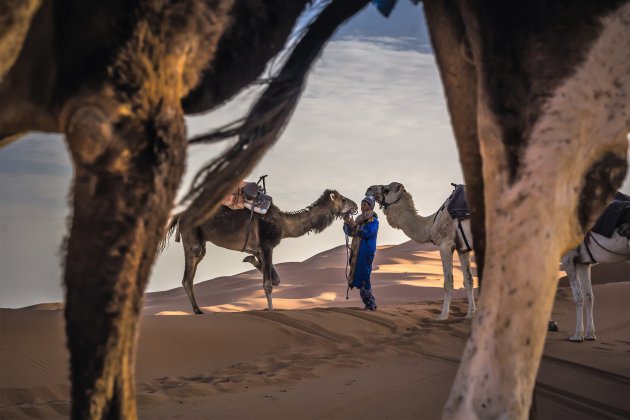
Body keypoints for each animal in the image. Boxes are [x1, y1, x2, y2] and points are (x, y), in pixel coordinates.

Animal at [160, 189, 358, 312]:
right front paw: (271, 309)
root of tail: (181, 215)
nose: (355, 205)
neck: (284, 225)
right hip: (192, 238)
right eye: (342, 199)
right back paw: (197, 310)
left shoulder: (259, 250)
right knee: (188, 276)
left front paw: (249, 260)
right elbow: (268, 284)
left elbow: (275, 279)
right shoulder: (267, 246)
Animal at [368, 182, 476, 320]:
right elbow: (468, 280)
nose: (369, 189)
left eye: (386, 190)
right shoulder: (462, 248)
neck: (431, 224)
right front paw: (470, 314)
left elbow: (448, 282)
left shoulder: (445, 245)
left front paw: (442, 316)